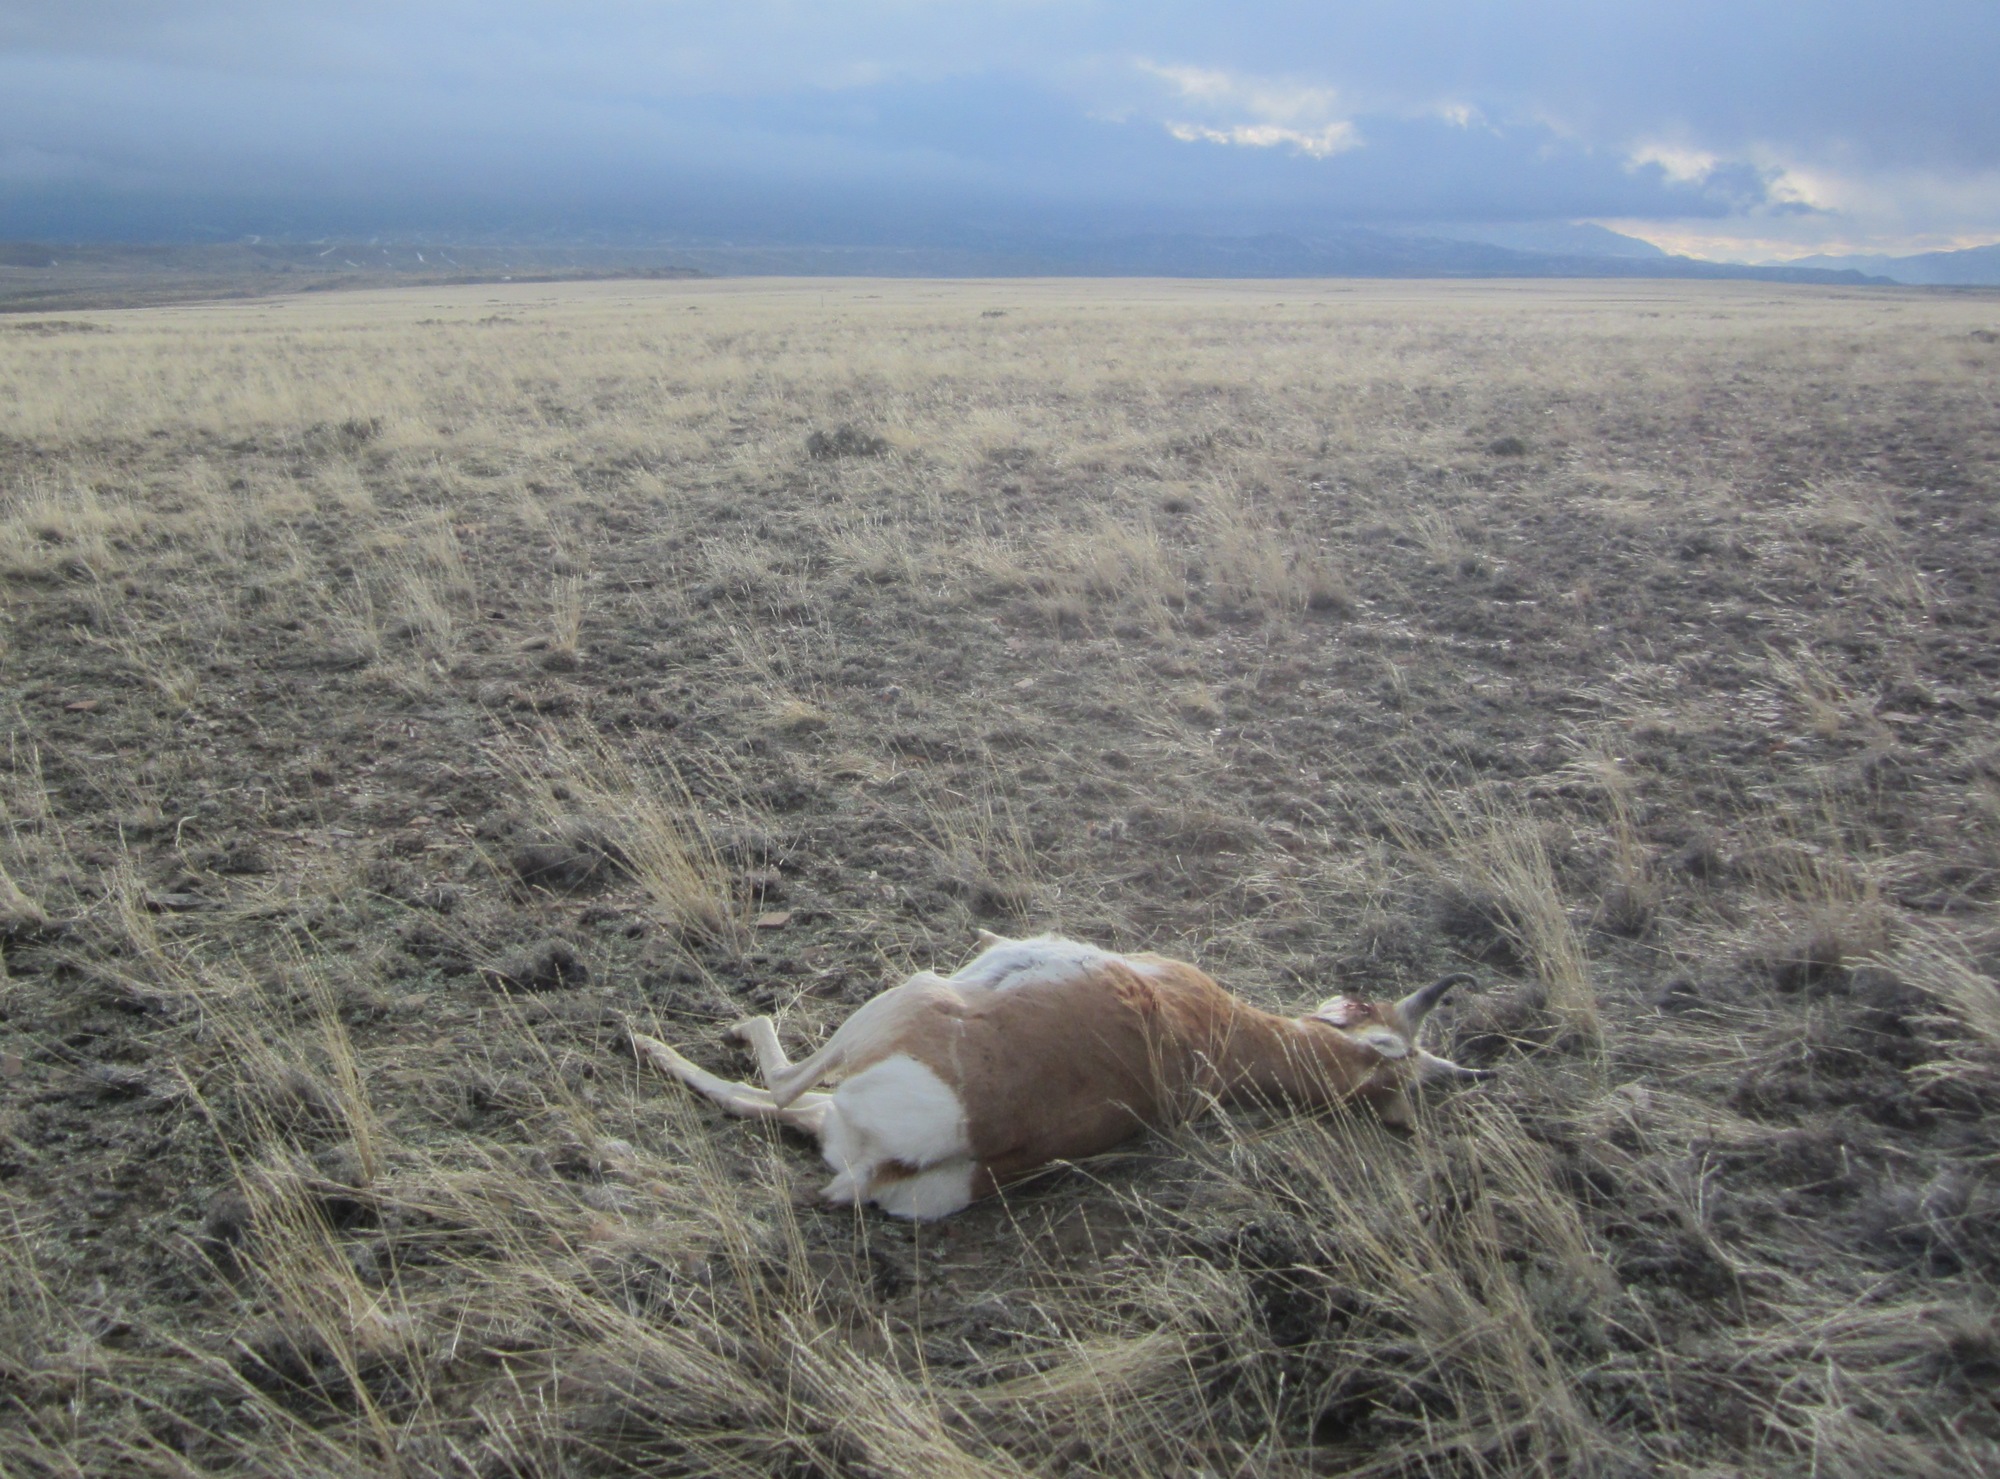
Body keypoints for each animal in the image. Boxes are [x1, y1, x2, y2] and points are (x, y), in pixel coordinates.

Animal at [630, 931, 1491, 1220]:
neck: (1217, 1030)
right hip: (838, 1115)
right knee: (767, 1101)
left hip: (905, 997)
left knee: (773, 1084)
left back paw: (655, 1039)